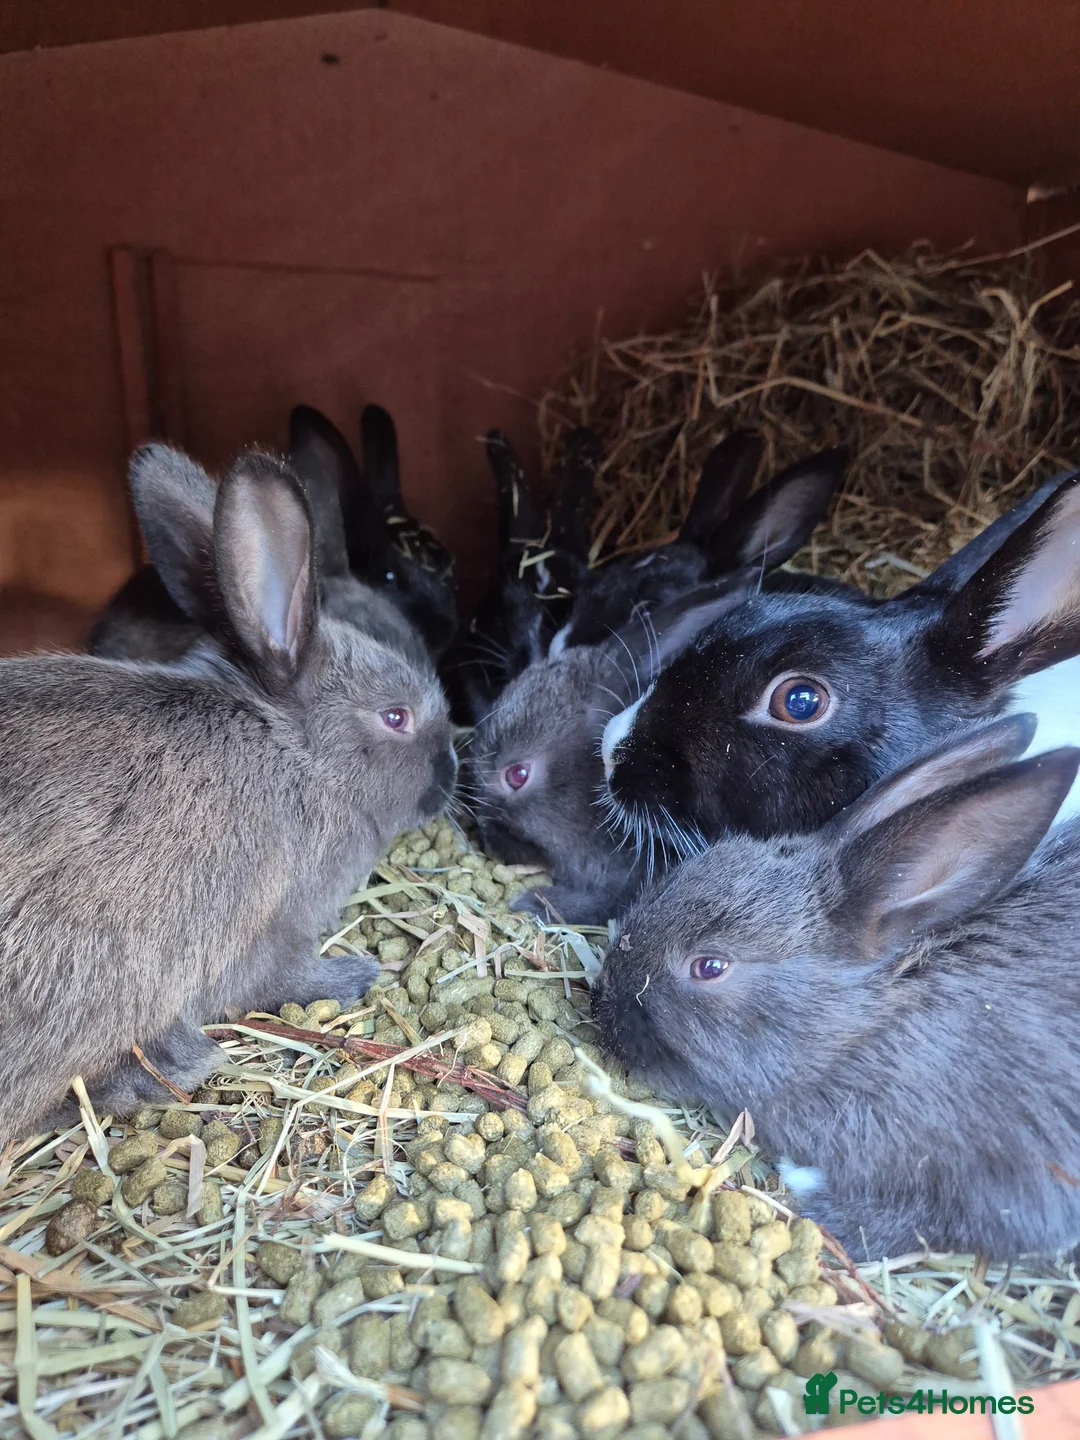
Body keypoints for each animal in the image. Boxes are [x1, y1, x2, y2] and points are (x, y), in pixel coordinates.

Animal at [0, 443, 456, 1142]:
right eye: (395, 716)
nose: (450, 776)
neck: (299, 754)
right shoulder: (266, 929)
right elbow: (281, 977)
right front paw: (354, 975)